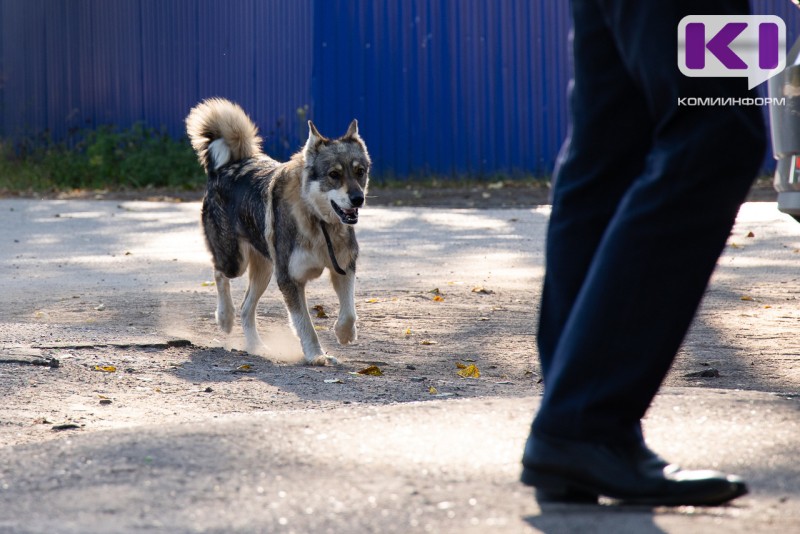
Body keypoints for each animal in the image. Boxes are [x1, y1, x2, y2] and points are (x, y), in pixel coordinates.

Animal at [188, 98, 372, 368]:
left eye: (360, 172)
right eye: (334, 175)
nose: (358, 199)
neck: (318, 221)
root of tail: (228, 166)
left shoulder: (344, 267)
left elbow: (349, 312)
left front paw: (344, 334)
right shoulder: (289, 279)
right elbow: (305, 325)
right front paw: (316, 355)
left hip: (264, 270)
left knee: (246, 308)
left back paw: (256, 346)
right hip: (236, 261)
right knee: (219, 274)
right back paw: (225, 317)